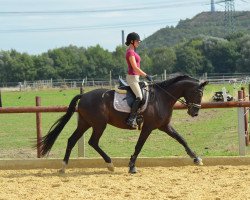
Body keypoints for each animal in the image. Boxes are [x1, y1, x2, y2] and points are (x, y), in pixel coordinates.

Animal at [37, 75, 209, 173]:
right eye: (199, 93)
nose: (195, 113)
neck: (161, 97)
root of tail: (84, 95)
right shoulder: (148, 127)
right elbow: (139, 146)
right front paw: (132, 166)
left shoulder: (165, 126)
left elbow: (181, 139)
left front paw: (196, 159)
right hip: (99, 124)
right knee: (93, 142)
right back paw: (110, 164)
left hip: (85, 123)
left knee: (72, 140)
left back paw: (63, 167)